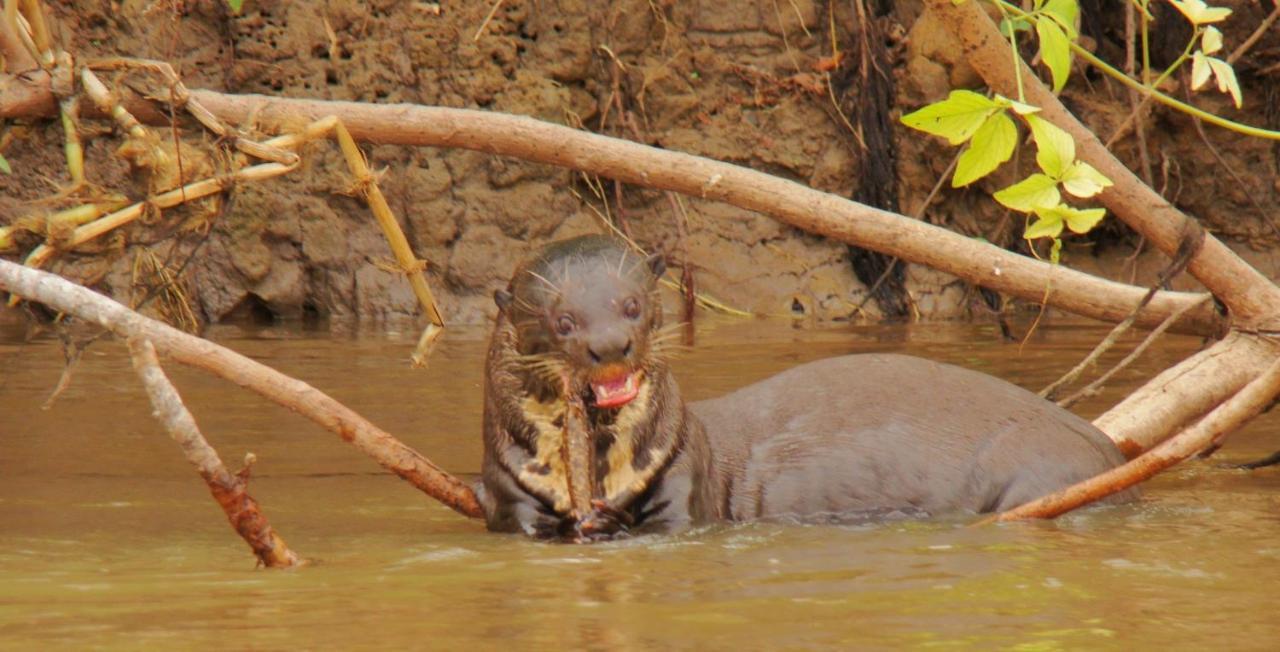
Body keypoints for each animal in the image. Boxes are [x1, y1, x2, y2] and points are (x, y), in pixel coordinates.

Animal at [476, 235, 1136, 537]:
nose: (612, 345)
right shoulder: (505, 480)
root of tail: (1110, 451)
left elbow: (676, 521)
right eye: (563, 320)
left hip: (1042, 468)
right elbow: (515, 518)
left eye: (631, 304)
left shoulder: (683, 473)